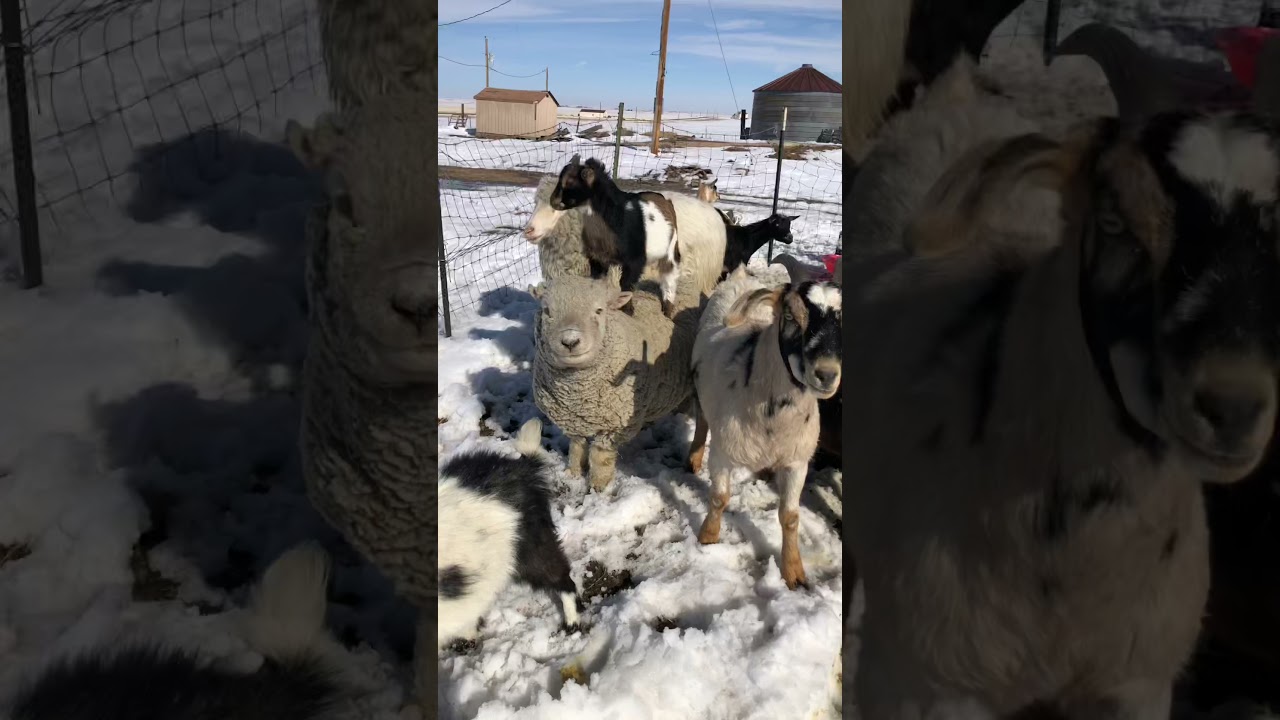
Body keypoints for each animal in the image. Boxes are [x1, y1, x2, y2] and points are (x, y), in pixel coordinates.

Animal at [532, 271, 703, 493]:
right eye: (547, 311)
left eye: (599, 310)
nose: (570, 341)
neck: (578, 394)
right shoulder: (572, 420)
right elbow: (577, 447)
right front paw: (573, 473)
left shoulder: (614, 428)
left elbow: (599, 457)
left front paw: (598, 487)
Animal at [547, 154, 683, 318]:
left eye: (569, 182)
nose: (553, 201)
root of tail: (665, 200)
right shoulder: (597, 258)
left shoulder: (635, 260)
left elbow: (626, 285)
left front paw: (628, 311)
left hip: (671, 251)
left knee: (669, 279)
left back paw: (667, 311)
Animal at [688, 260, 842, 591]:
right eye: (790, 316)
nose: (826, 374)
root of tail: (741, 275)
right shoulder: (722, 453)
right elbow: (719, 498)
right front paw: (707, 538)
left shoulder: (798, 462)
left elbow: (791, 516)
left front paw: (794, 572)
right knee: (702, 420)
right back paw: (693, 457)